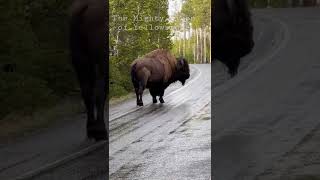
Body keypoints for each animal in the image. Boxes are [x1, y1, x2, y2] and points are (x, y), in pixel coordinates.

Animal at [69, 0, 107, 141]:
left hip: (79, 58)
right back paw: (100, 130)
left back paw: (91, 129)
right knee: (100, 90)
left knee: (86, 91)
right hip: (101, 58)